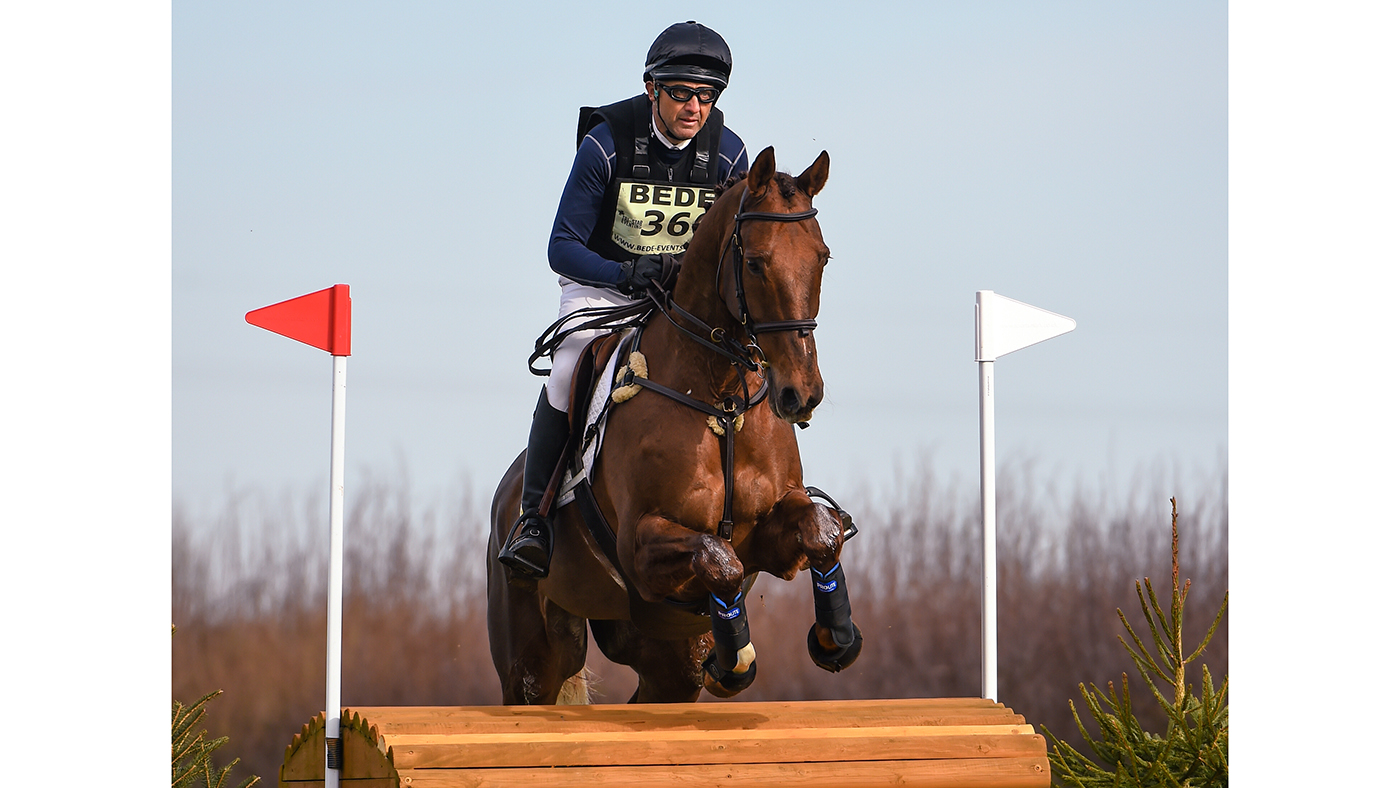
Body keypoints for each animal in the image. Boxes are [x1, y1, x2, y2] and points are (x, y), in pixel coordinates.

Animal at [487, 147, 861, 704]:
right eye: (755, 262)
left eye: (822, 258)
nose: (801, 394)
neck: (722, 400)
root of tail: (506, 495)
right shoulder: (641, 547)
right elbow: (718, 557)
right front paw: (736, 660)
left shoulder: (770, 533)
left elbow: (818, 530)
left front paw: (835, 636)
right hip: (533, 659)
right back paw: (529, 538)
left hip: (663, 654)